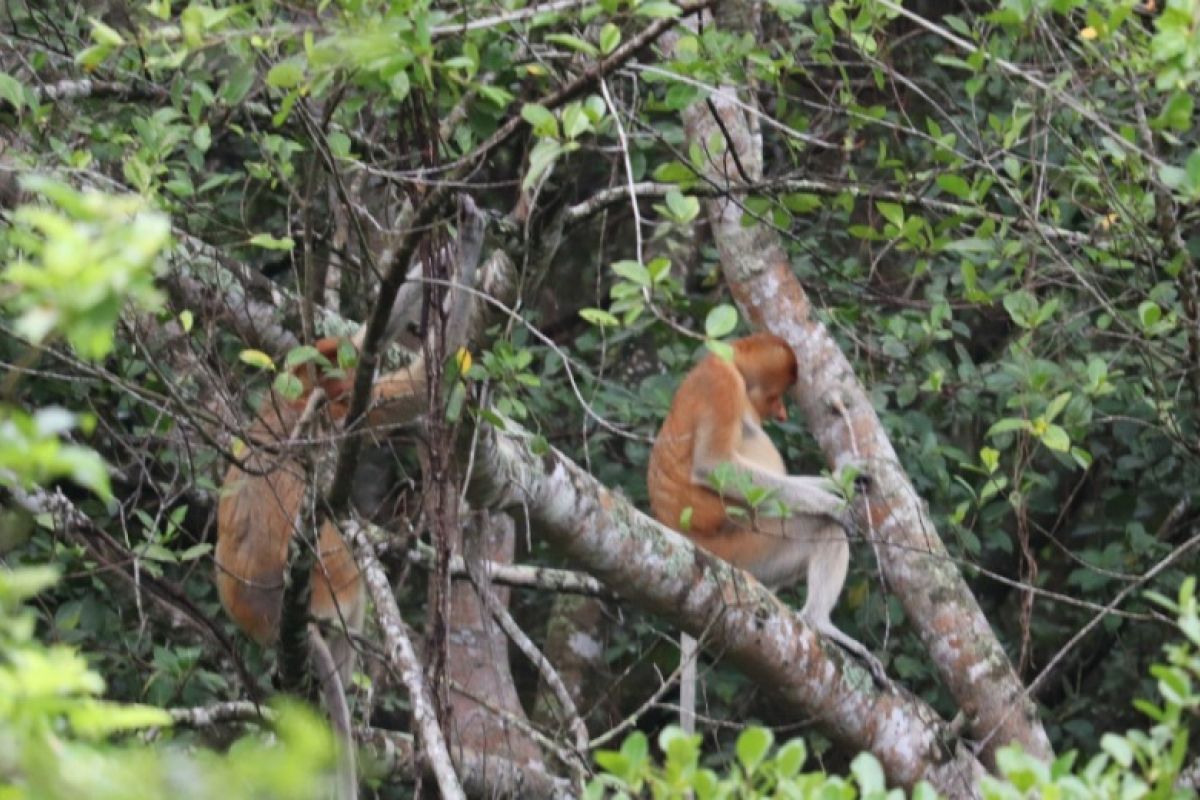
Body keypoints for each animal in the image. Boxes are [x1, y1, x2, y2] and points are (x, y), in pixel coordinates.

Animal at [648, 331, 883, 700]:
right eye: (776, 394)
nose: (782, 412)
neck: (728, 364)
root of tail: (692, 543)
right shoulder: (721, 384)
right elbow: (714, 465)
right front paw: (835, 505)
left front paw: (846, 476)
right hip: (746, 548)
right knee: (822, 528)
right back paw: (820, 623)